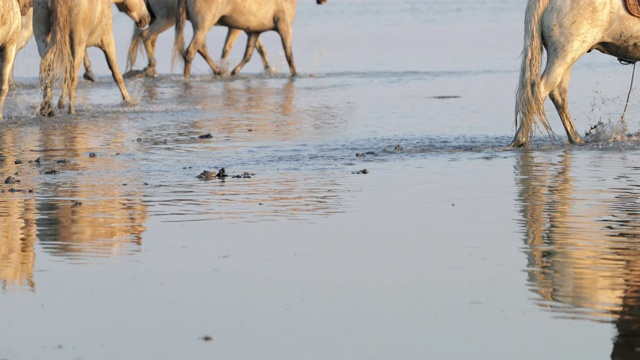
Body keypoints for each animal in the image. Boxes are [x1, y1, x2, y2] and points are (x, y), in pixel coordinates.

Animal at [127, 0, 270, 78]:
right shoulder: (238, 26)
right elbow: (228, 48)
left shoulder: (248, 25)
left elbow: (258, 48)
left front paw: (268, 68)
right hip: (167, 19)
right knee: (146, 36)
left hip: (160, 20)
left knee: (152, 39)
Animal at [174, 0, 324, 78]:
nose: (322, 1)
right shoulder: (285, 28)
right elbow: (289, 55)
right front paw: (295, 74)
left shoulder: (254, 32)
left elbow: (248, 55)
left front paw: (234, 72)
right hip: (203, 26)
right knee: (191, 51)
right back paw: (187, 77)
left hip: (200, 27)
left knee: (200, 48)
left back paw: (218, 71)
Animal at [510, 0, 640, 147]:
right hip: (565, 55)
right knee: (537, 94)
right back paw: (520, 140)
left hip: (565, 58)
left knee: (558, 95)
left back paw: (576, 139)